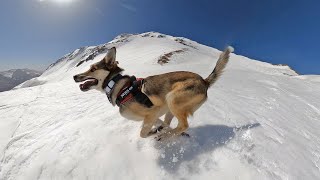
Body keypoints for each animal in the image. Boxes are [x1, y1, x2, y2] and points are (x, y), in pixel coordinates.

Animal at [73, 46, 232, 141]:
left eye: (93, 69)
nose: (74, 76)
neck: (120, 88)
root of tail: (204, 81)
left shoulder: (153, 110)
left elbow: (143, 134)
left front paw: (153, 132)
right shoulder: (153, 115)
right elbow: (159, 123)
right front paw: (158, 128)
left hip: (172, 98)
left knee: (183, 125)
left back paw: (166, 136)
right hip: (171, 106)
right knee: (173, 124)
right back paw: (166, 132)